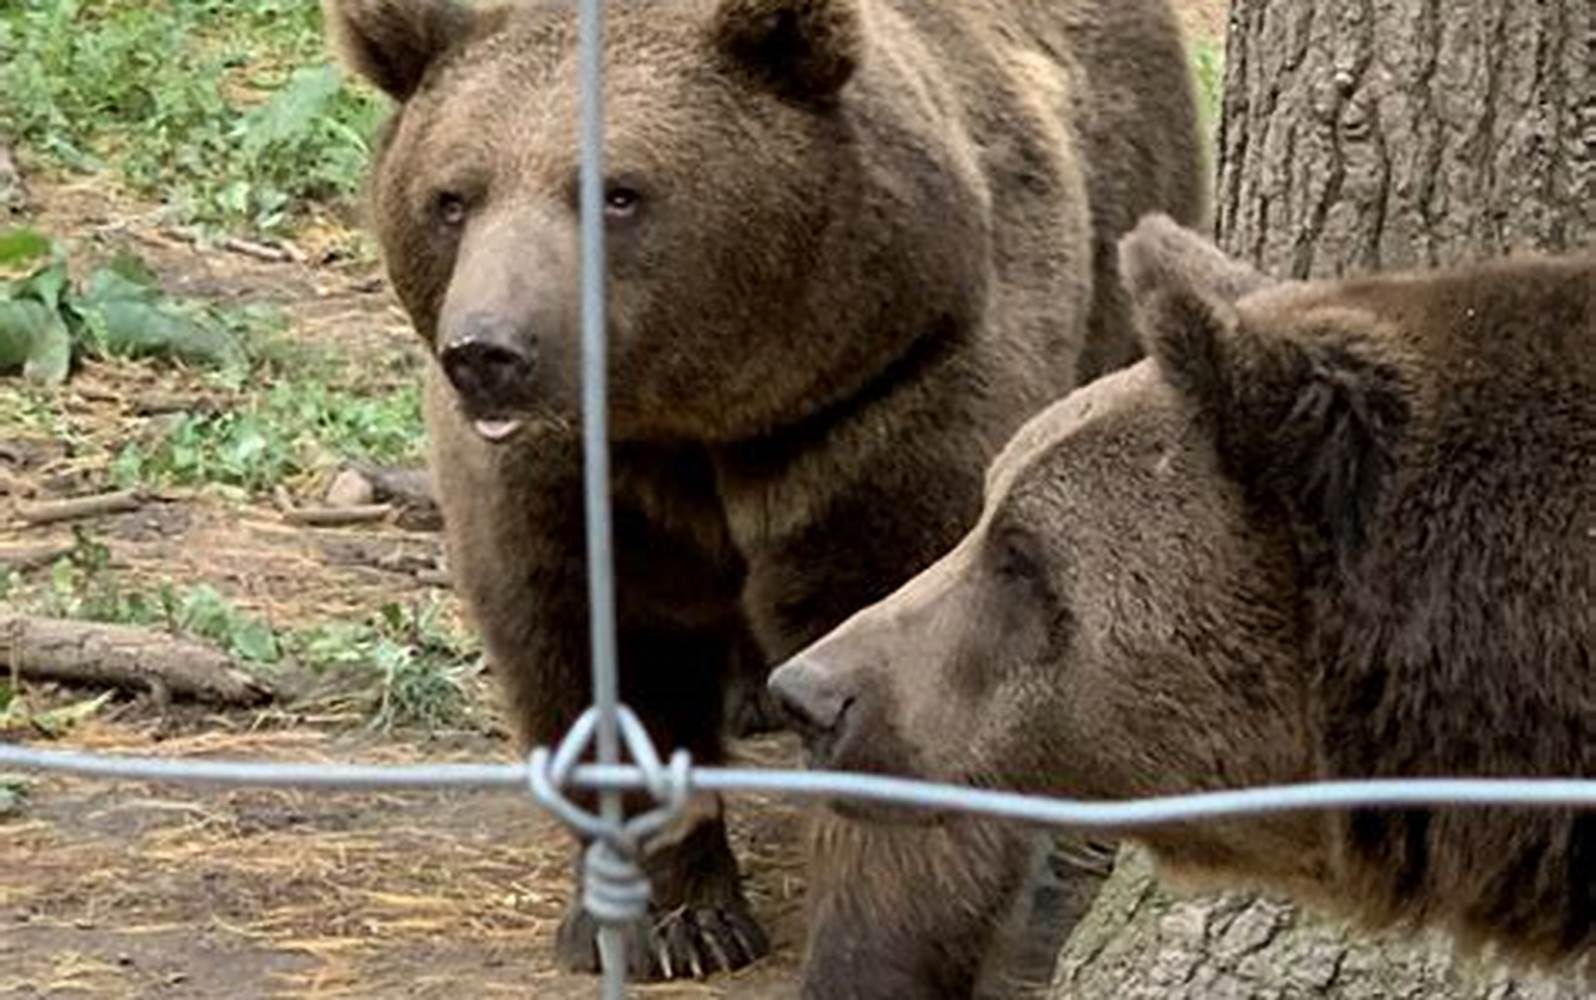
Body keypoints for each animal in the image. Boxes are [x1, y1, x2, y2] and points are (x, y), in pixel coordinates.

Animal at [323, 0, 1207, 991]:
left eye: (618, 192)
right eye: (452, 198)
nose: (489, 351)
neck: (698, 420)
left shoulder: (892, 396)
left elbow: (909, 663)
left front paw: (867, 958)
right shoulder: (565, 475)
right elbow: (594, 653)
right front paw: (670, 920)